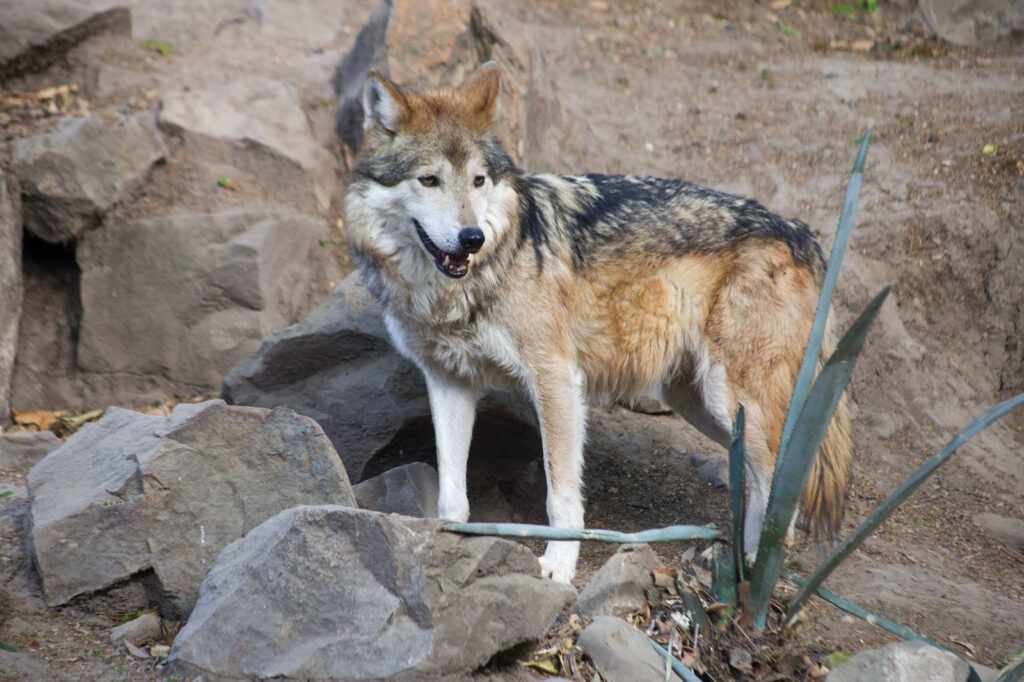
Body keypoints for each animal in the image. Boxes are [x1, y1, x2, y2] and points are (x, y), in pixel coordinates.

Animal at [346, 62, 856, 577]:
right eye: (429, 180)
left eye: (478, 181)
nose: (472, 238)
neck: (463, 286)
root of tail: (800, 232)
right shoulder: (449, 381)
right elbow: (452, 493)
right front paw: (448, 542)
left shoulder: (555, 379)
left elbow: (560, 495)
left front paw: (558, 565)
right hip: (699, 403)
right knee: (767, 470)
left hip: (728, 397)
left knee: (779, 473)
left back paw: (757, 566)